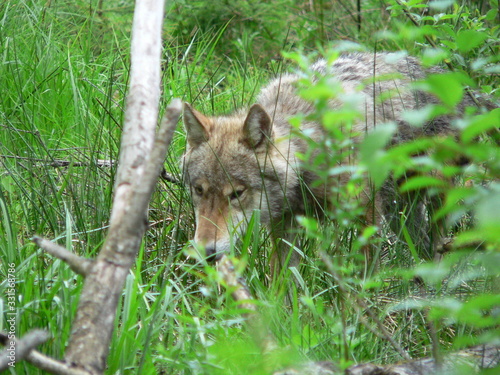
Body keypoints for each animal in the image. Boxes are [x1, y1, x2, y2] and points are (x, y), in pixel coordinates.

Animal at [182, 53, 470, 270]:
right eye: (199, 190)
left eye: (237, 193)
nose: (206, 252)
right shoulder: (284, 228)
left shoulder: (365, 212)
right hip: (400, 210)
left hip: (431, 191)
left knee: (439, 243)